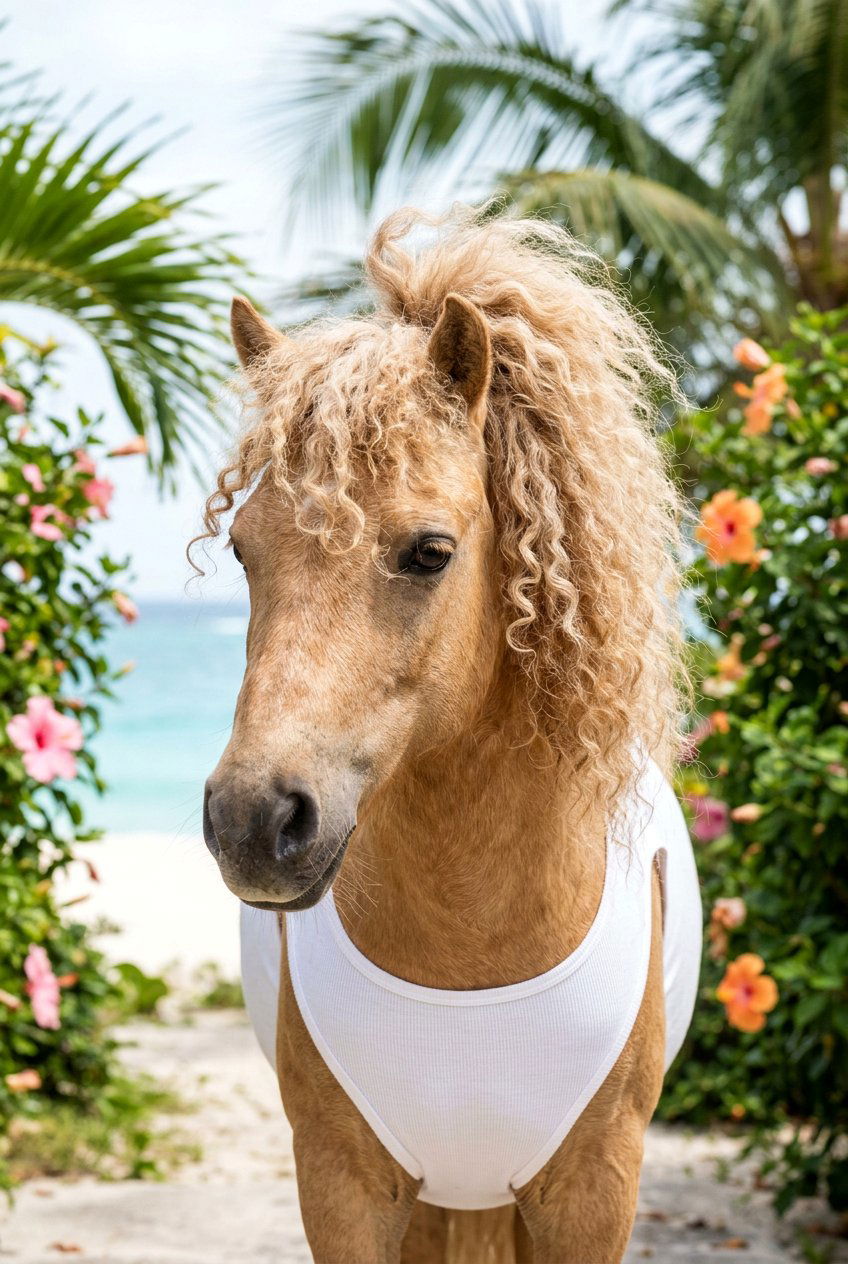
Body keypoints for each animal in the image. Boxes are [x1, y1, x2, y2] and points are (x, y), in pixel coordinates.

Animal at [197, 205, 702, 1264]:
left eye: (429, 552)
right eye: (243, 548)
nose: (254, 822)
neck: (472, 961)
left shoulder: (593, 1194)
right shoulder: (343, 1189)